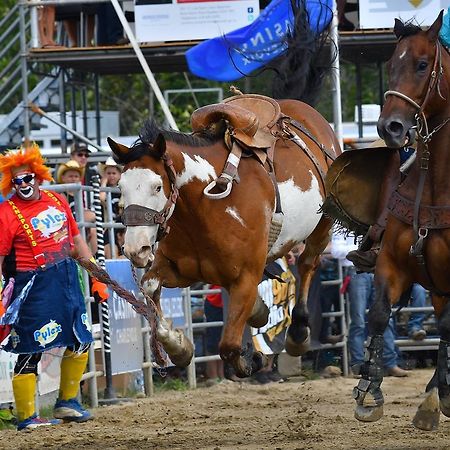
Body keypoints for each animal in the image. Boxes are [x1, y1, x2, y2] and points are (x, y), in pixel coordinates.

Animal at [107, 96, 340, 378]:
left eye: (157, 186)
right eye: (120, 187)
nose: (134, 249)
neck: (204, 206)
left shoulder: (246, 277)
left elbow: (229, 346)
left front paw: (254, 360)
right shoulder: (181, 270)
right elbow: (150, 287)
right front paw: (178, 347)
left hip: (324, 224)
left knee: (308, 263)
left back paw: (297, 333)